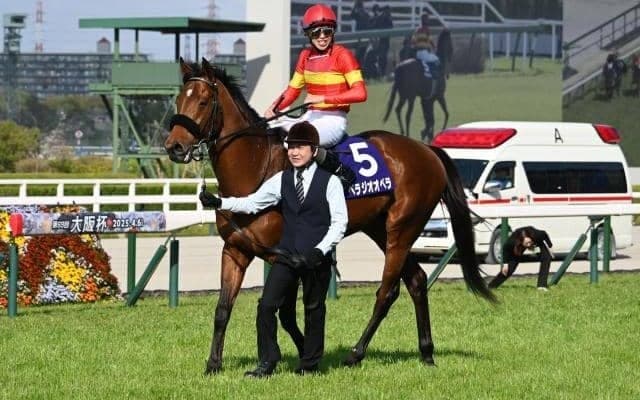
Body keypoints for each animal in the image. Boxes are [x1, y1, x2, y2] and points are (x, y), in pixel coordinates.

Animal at [164, 58, 496, 375]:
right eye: (179, 99)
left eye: (203, 101)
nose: (174, 146)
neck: (255, 170)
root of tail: (426, 149)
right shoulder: (235, 250)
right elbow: (223, 309)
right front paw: (214, 364)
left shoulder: (282, 254)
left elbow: (285, 312)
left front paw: (307, 355)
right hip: (381, 229)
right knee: (416, 280)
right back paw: (426, 353)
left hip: (402, 229)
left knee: (387, 291)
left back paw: (356, 353)